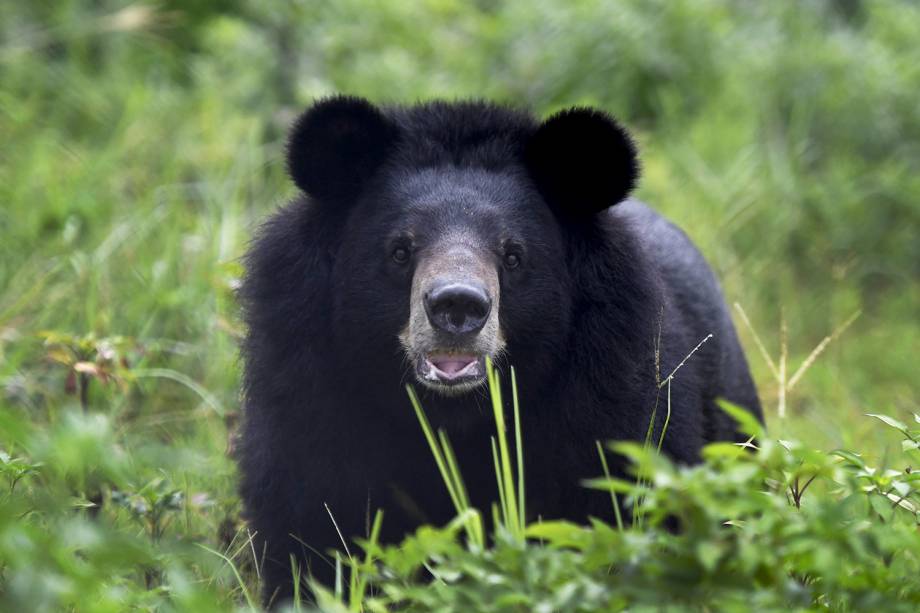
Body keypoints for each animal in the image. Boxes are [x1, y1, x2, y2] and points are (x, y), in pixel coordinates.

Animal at [237, 98, 760, 604]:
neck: (455, 414)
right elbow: (314, 524)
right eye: (400, 251)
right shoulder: (310, 396)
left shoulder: (612, 398)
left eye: (513, 255)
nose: (457, 306)